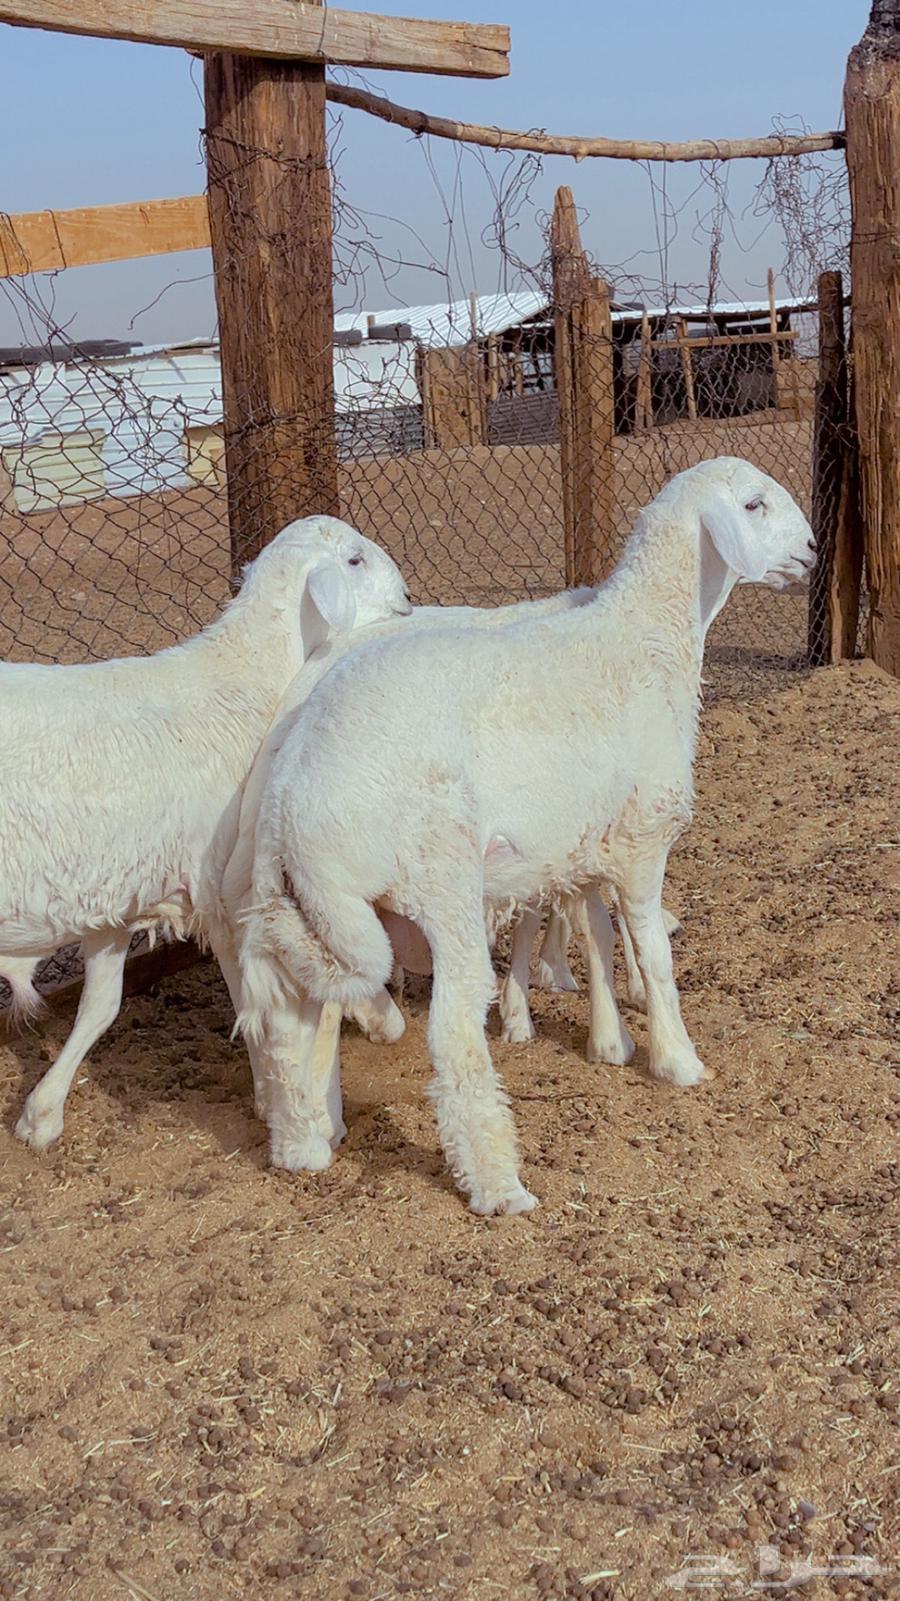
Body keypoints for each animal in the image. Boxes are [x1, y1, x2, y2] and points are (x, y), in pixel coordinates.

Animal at [5, 515, 411, 1151]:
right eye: (353, 560)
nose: (407, 598)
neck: (250, 681)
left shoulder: (116, 899)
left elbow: (100, 1007)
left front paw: (41, 1116)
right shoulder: (226, 889)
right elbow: (260, 997)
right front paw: (287, 1094)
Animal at [236, 458, 816, 1215]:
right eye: (752, 505)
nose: (811, 552)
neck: (644, 637)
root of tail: (289, 807)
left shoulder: (584, 843)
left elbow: (597, 937)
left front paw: (609, 1041)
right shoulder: (641, 837)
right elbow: (652, 951)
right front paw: (677, 1059)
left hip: (308, 914)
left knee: (300, 1020)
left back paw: (305, 1144)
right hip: (439, 878)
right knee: (451, 1033)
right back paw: (496, 1183)